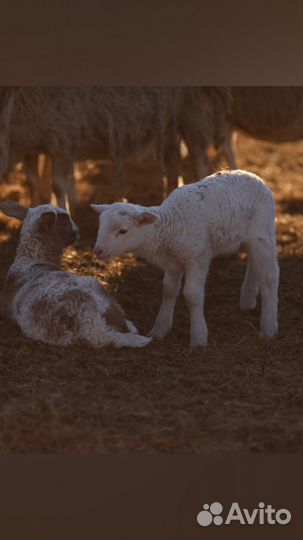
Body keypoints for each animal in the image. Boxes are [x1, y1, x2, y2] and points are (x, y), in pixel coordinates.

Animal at [92, 171, 280, 348]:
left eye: (123, 231)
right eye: (100, 226)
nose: (98, 250)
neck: (170, 226)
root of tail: (253, 176)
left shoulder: (198, 257)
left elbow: (192, 295)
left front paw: (198, 338)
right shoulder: (172, 264)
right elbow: (168, 290)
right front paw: (160, 330)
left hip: (262, 232)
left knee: (270, 276)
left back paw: (268, 327)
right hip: (247, 238)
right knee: (254, 263)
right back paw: (248, 299)